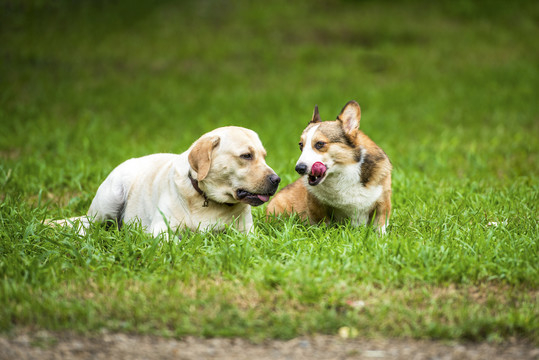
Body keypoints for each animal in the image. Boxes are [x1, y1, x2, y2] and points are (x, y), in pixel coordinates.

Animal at [49, 126, 282, 236]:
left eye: (264, 156)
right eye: (246, 156)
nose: (277, 179)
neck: (206, 199)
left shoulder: (247, 233)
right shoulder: (160, 230)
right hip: (110, 199)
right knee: (88, 224)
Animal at [268, 100, 392, 233]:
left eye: (320, 144)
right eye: (301, 145)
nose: (299, 168)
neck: (346, 172)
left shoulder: (383, 202)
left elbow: (379, 225)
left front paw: (381, 236)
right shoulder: (317, 206)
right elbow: (323, 223)